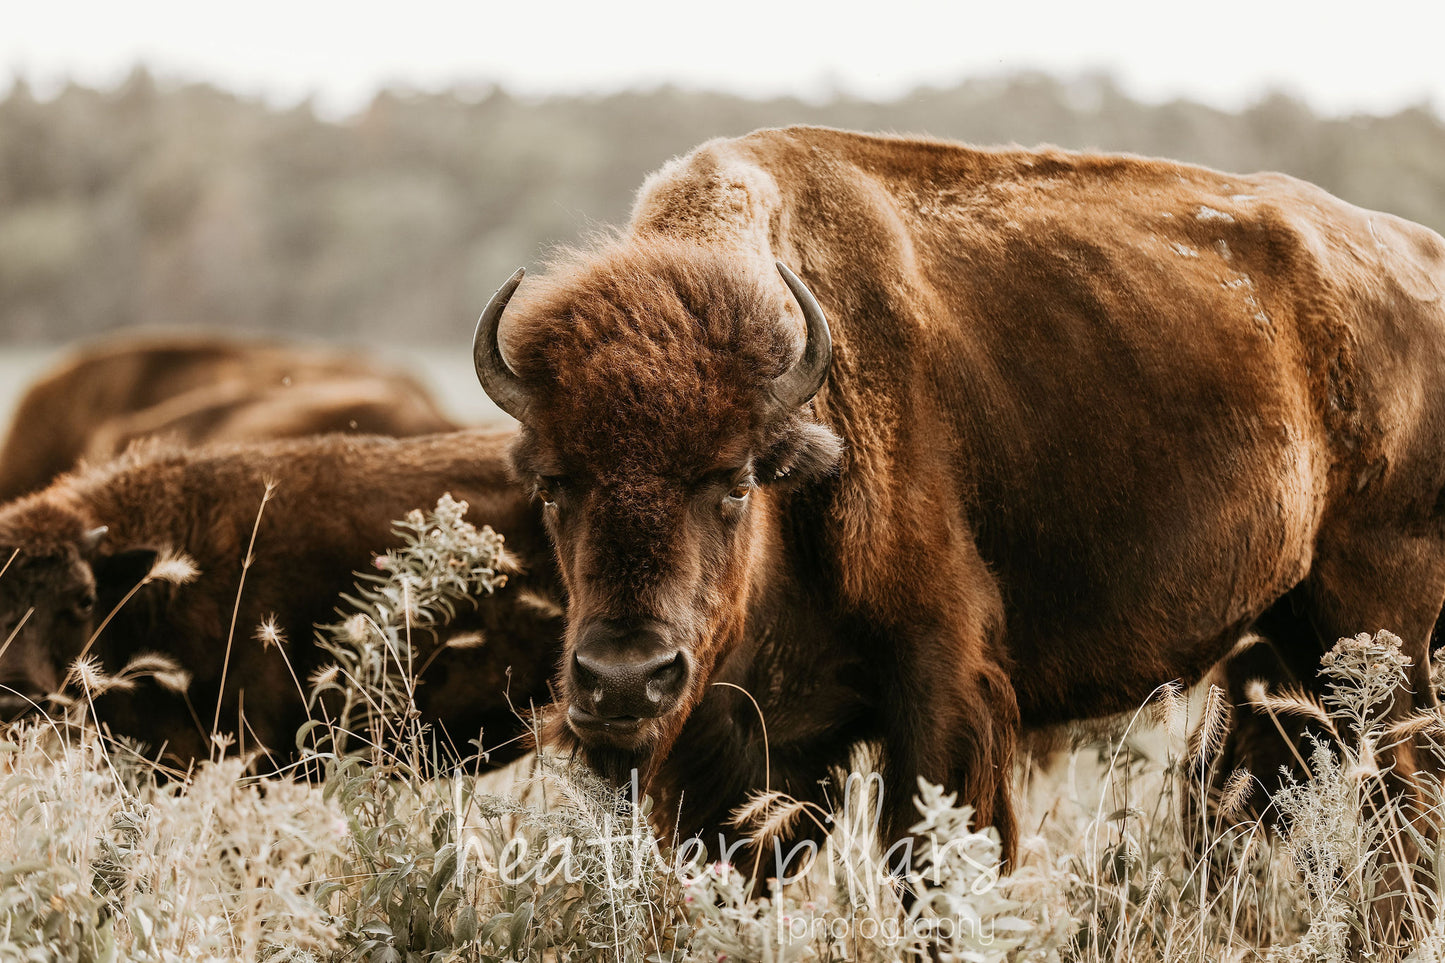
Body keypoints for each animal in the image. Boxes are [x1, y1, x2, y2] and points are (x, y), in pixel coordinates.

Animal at [473, 123, 1445, 867]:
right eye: (554, 481)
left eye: (735, 480)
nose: (622, 679)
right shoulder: (748, 742)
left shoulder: (942, 684)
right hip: (1288, 643)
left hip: (1378, 633)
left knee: (1400, 797)